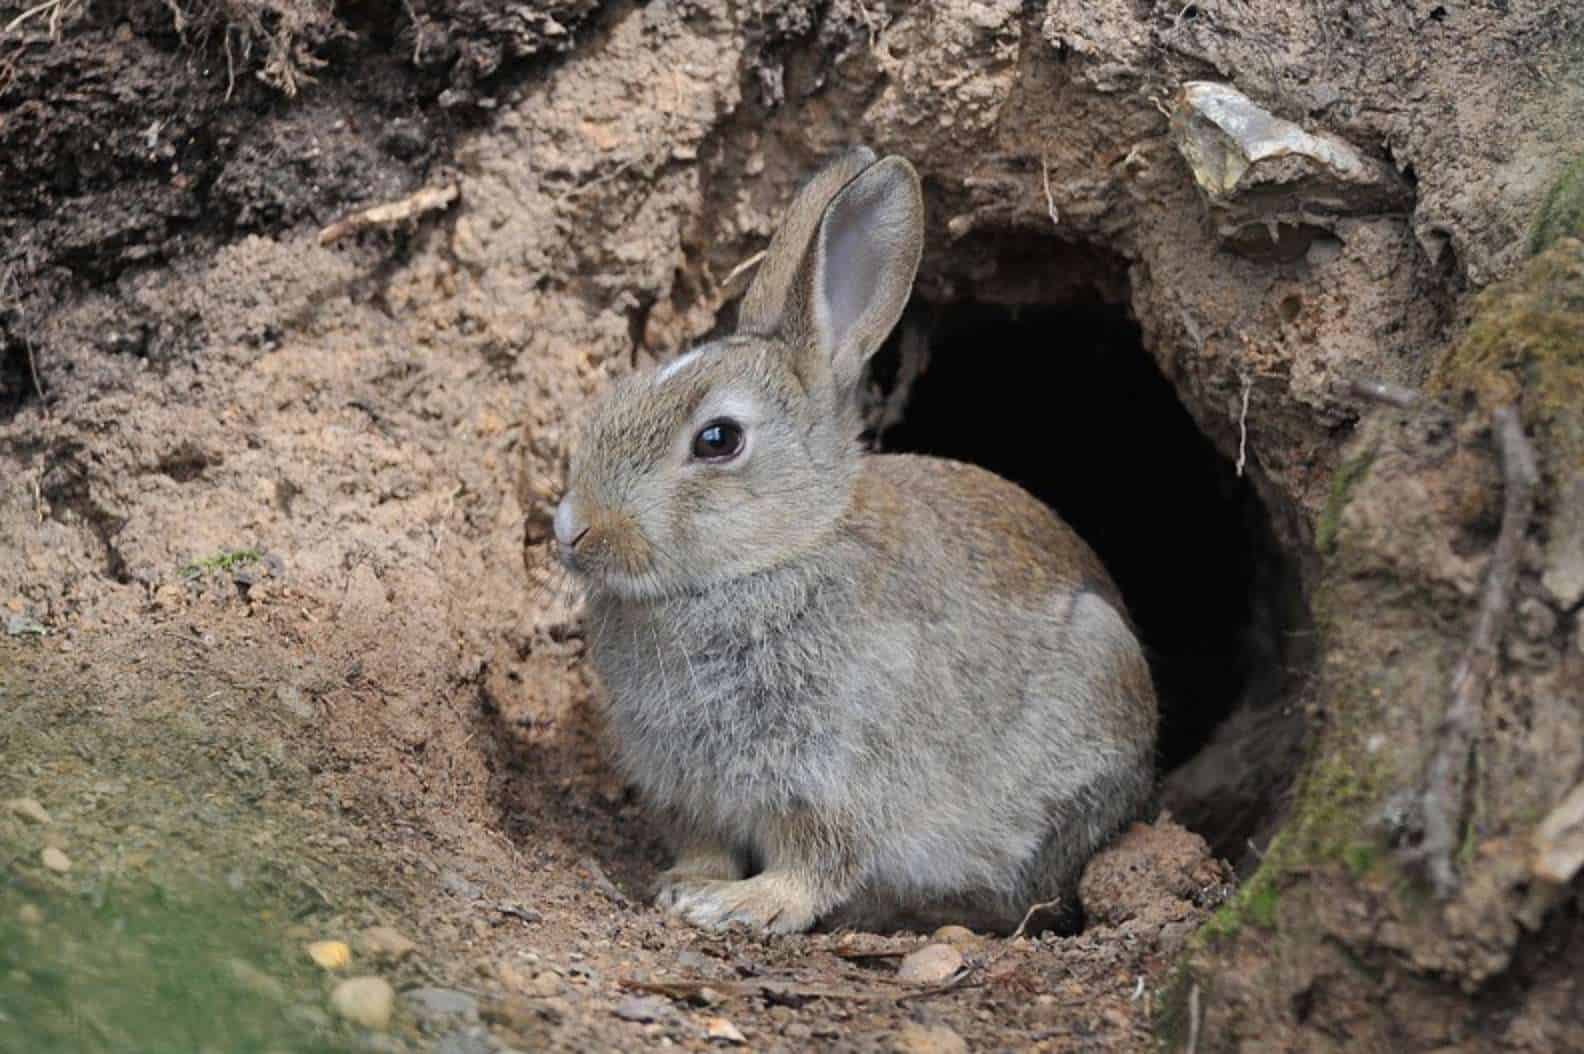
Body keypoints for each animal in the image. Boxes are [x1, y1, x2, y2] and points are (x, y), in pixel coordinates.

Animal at [551, 144, 1159, 931]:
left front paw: (741, 906)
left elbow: (815, 859)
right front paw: (688, 885)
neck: (778, 555)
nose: (571, 528)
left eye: (718, 440)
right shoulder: (688, 789)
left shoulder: (830, 775)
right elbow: (705, 841)